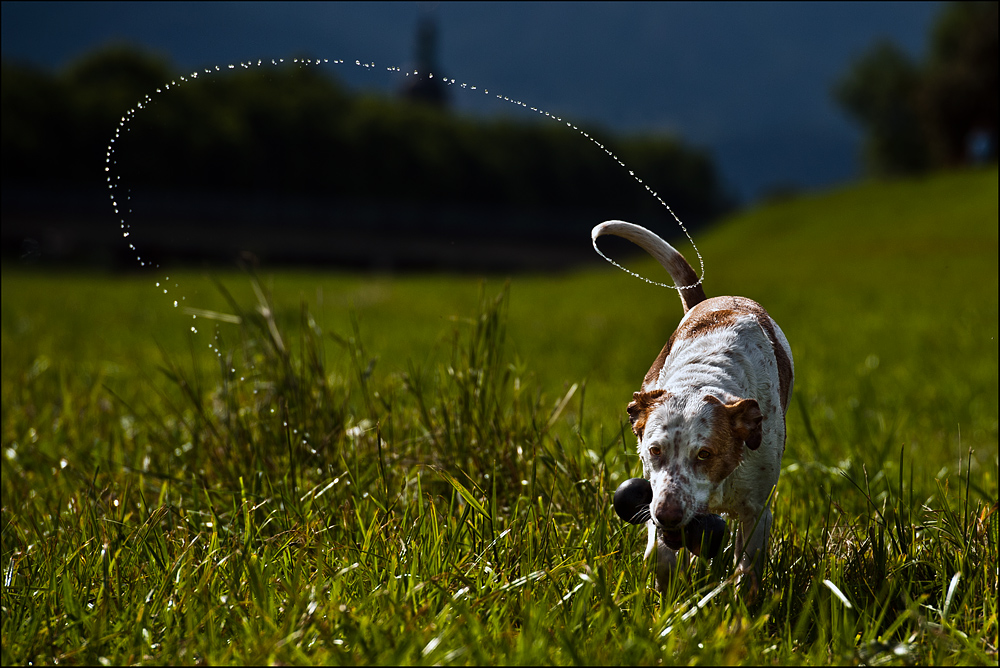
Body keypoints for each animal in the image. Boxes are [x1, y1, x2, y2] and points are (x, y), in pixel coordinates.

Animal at [592, 222, 796, 592]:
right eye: (655, 450)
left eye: (705, 454)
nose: (668, 514)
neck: (702, 380)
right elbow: (664, 558)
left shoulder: (756, 511)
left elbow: (747, 573)